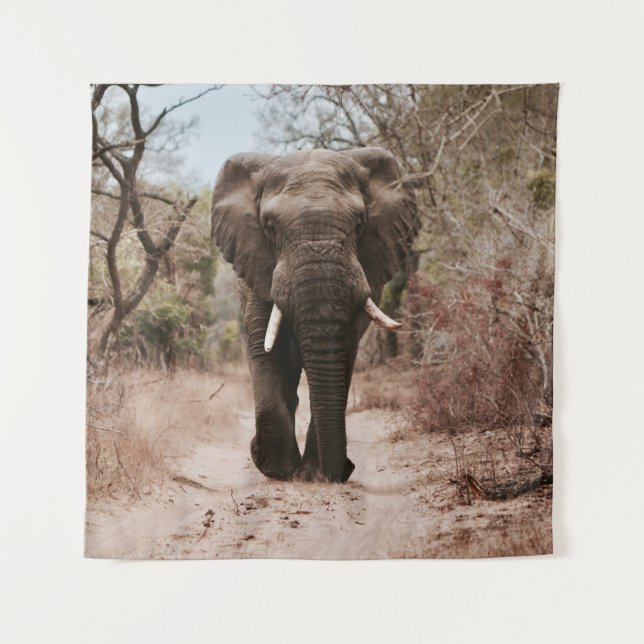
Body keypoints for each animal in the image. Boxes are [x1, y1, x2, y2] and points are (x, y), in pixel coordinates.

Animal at [211, 148, 419, 483]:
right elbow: (265, 349)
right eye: (270, 227)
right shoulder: (258, 267)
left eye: (359, 223)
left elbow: (344, 352)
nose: (345, 469)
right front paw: (276, 470)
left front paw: (313, 474)